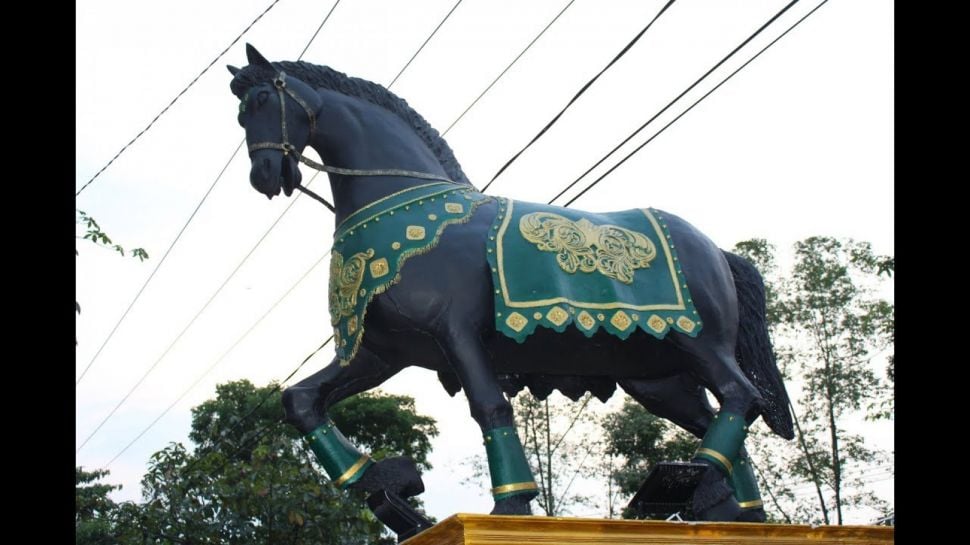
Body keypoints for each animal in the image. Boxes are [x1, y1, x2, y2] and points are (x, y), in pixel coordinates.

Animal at [231, 45, 792, 528]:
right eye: (239, 114)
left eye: (262, 100)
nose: (266, 175)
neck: (405, 207)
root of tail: (717, 252)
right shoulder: (382, 352)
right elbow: (301, 400)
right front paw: (385, 481)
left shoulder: (455, 332)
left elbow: (489, 406)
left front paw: (511, 504)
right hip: (660, 376)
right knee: (718, 416)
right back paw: (730, 508)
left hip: (700, 342)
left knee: (741, 396)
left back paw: (694, 486)